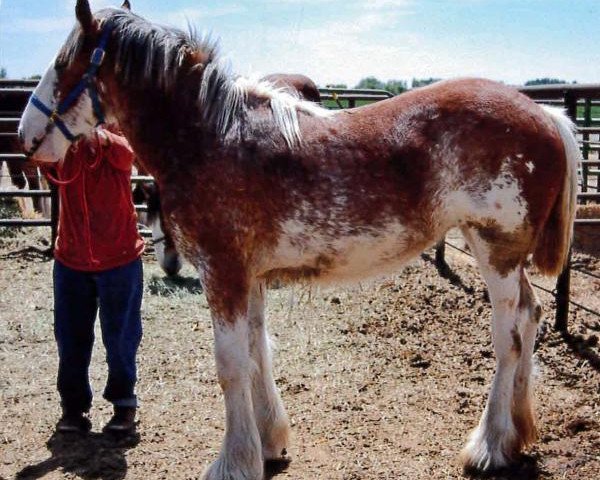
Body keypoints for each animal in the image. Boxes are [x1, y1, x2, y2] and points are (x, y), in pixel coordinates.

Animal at [18, 1, 580, 478]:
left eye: (64, 63)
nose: (25, 136)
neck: (210, 138)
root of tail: (547, 115)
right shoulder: (250, 277)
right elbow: (257, 352)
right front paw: (268, 443)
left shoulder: (223, 273)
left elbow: (230, 365)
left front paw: (233, 461)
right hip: (501, 254)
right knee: (531, 317)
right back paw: (518, 433)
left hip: (496, 251)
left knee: (508, 337)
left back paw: (490, 446)